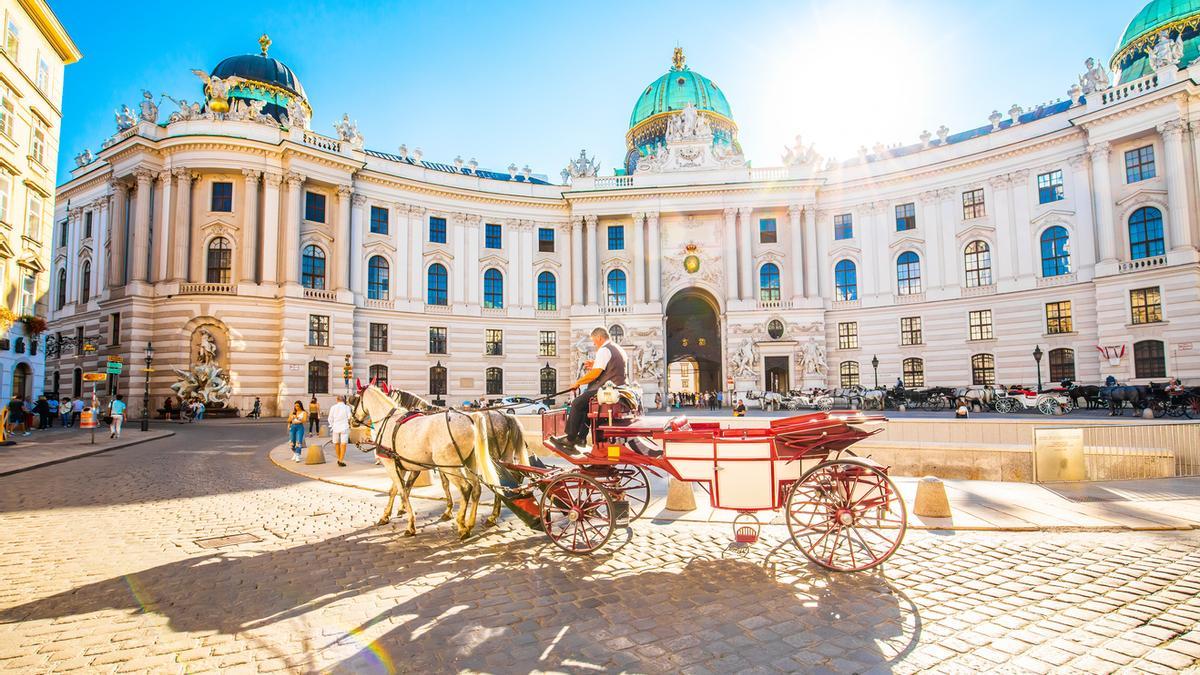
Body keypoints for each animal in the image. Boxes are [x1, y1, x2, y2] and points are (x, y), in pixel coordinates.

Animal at [350, 384, 499, 535]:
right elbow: (395, 490)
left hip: (448, 465)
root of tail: (470, 418)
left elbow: (403, 491)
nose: (352, 421)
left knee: (465, 488)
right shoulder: (401, 465)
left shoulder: (391, 464)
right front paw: (387, 515)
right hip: (470, 461)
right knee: (477, 489)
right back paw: (471, 523)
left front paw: (410, 523)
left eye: (354, 400)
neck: (389, 421)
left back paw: (463, 526)